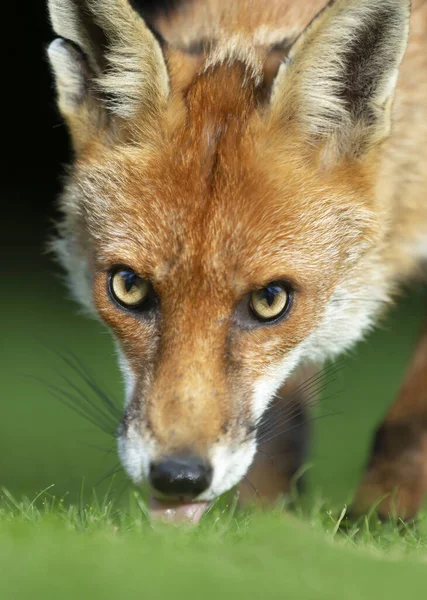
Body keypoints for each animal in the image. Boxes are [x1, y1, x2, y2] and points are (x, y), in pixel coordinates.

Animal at [46, 0, 427, 524]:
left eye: (270, 300)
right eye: (128, 287)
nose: (178, 478)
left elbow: (409, 421)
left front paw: (381, 516)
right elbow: (281, 432)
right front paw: (262, 525)